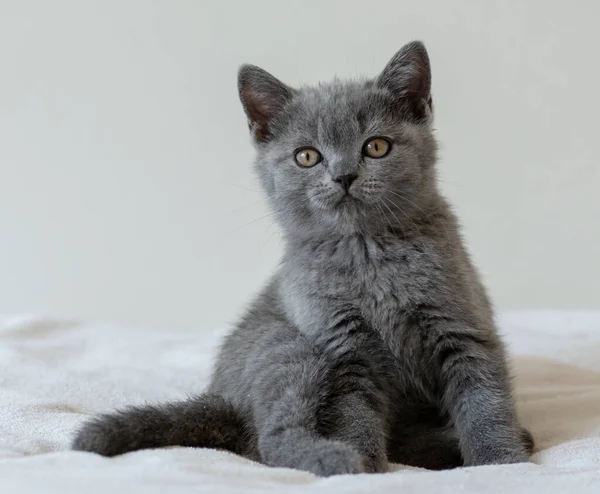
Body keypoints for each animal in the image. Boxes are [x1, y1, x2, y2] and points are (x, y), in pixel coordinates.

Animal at [71, 41, 536, 474]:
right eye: (307, 156)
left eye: (377, 146)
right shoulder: (344, 350)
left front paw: (500, 463)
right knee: (270, 439)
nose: (344, 176)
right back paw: (337, 458)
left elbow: (484, 405)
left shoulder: (462, 330)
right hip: (292, 348)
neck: (367, 255)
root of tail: (221, 396)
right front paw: (368, 466)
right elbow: (354, 417)